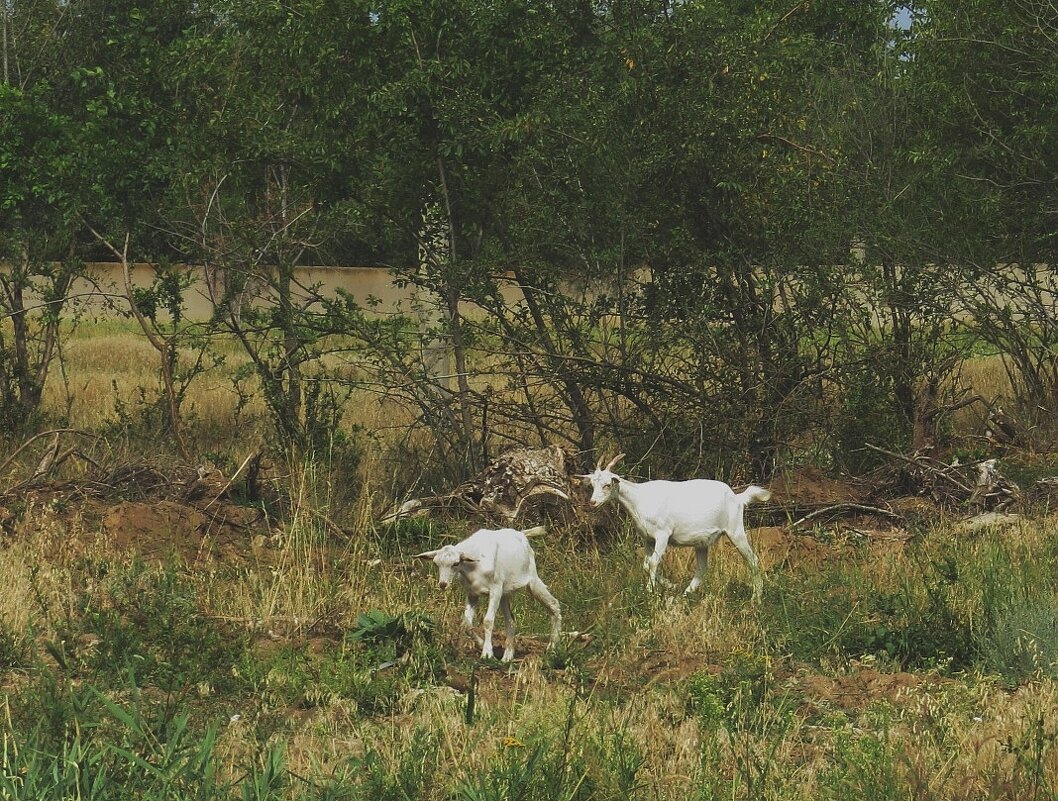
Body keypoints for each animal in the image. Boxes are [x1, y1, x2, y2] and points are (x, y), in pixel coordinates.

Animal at [414, 522, 562, 660]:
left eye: (455, 563)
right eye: (436, 564)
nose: (443, 584)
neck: (474, 566)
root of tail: (522, 534)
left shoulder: (495, 590)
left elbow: (488, 621)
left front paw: (487, 653)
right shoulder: (472, 593)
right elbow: (466, 624)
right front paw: (482, 645)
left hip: (531, 580)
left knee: (554, 604)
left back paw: (552, 648)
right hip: (505, 594)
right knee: (511, 621)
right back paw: (507, 656)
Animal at [579, 452, 770, 596]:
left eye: (607, 485)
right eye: (592, 485)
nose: (593, 503)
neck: (639, 499)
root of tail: (737, 498)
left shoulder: (662, 535)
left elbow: (653, 562)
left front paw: (650, 592)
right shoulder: (648, 539)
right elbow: (646, 564)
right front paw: (669, 585)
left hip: (735, 530)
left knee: (752, 559)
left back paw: (756, 597)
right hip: (702, 542)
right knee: (702, 569)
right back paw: (685, 594)